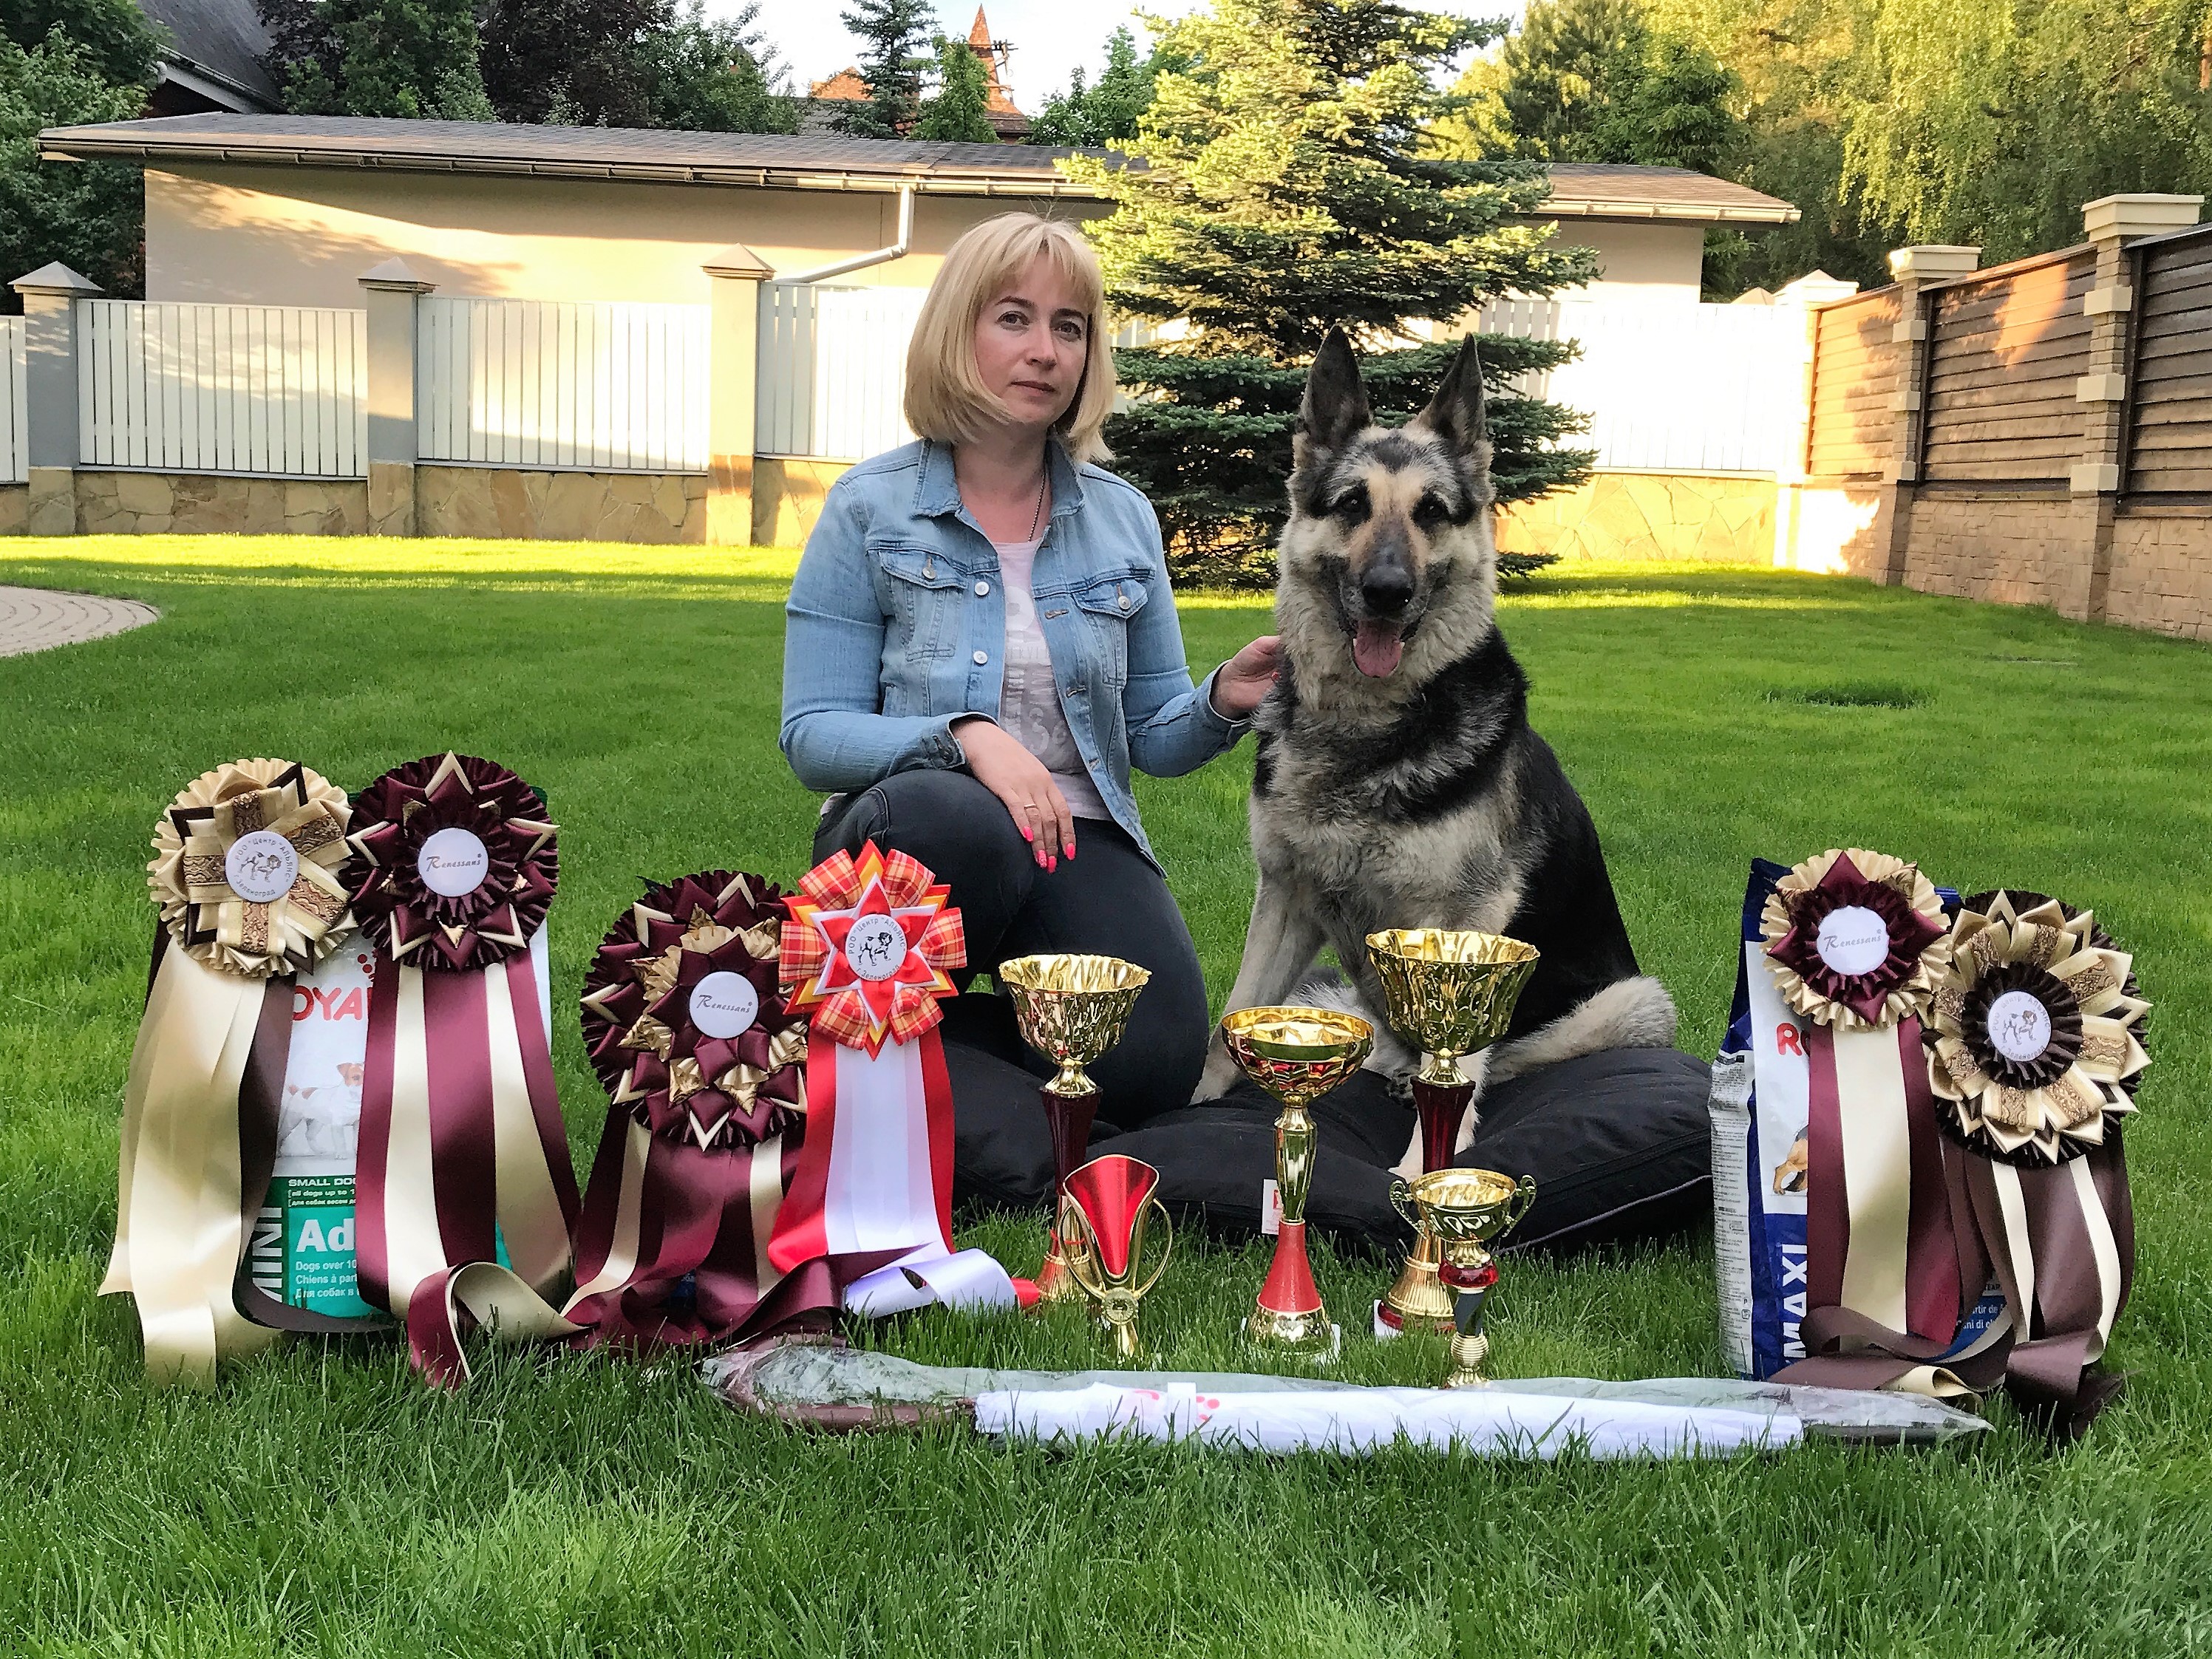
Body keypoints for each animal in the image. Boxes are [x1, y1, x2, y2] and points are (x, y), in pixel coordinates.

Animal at [1195, 329, 1676, 1168]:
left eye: (1430, 512)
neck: (1366, 730)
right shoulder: (1285, 897)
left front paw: (1426, 1175)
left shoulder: (1465, 928)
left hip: (1631, 1001)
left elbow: (1454, 1074)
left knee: (1497, 1061)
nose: (1387, 591)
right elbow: (1231, 1020)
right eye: (1352, 505)